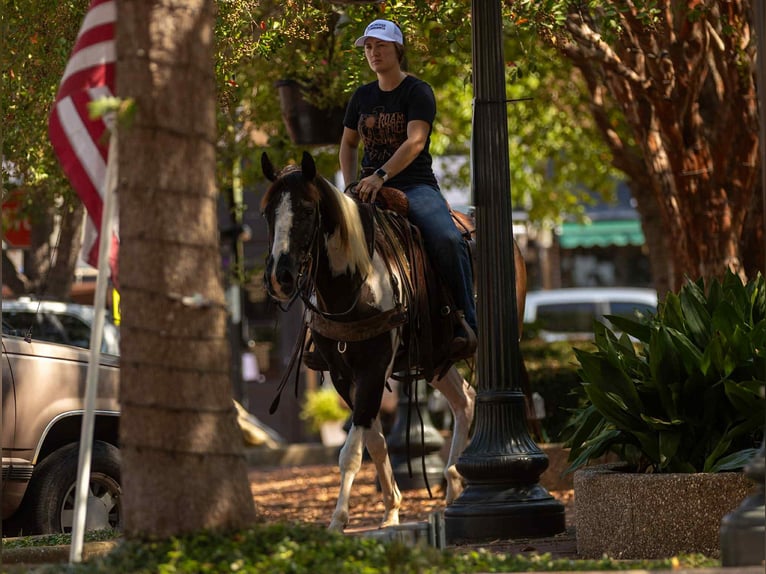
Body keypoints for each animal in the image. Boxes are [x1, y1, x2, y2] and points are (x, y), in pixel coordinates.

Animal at [260, 150, 527, 531]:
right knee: (465, 399)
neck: (355, 282)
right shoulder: (343, 375)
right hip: (435, 356)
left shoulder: (373, 367)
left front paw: (338, 520)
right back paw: (454, 482)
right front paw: (391, 510)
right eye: (268, 212)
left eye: (308, 211)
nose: (278, 277)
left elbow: (352, 452)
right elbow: (374, 440)